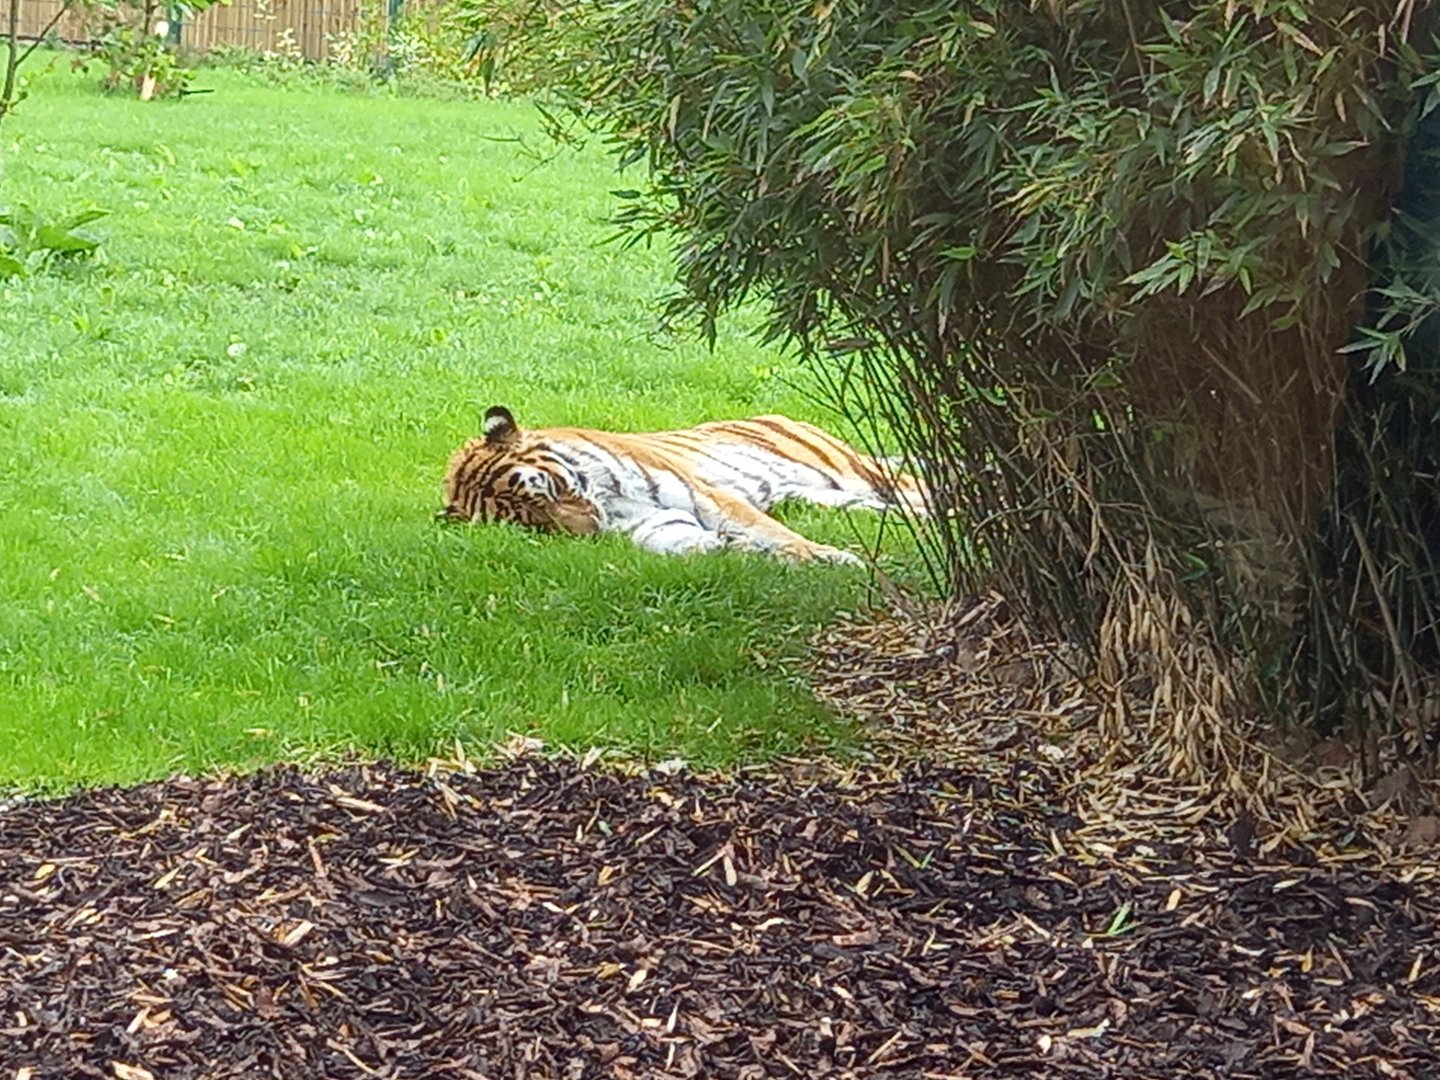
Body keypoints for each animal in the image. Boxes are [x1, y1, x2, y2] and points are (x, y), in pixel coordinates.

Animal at [438, 406, 930, 564]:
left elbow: (774, 532)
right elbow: (680, 541)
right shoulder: (655, 524)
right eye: (535, 523)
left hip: (858, 473)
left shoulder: (710, 497)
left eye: (549, 490)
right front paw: (728, 550)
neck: (609, 501)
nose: (590, 531)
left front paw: (831, 558)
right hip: (837, 498)